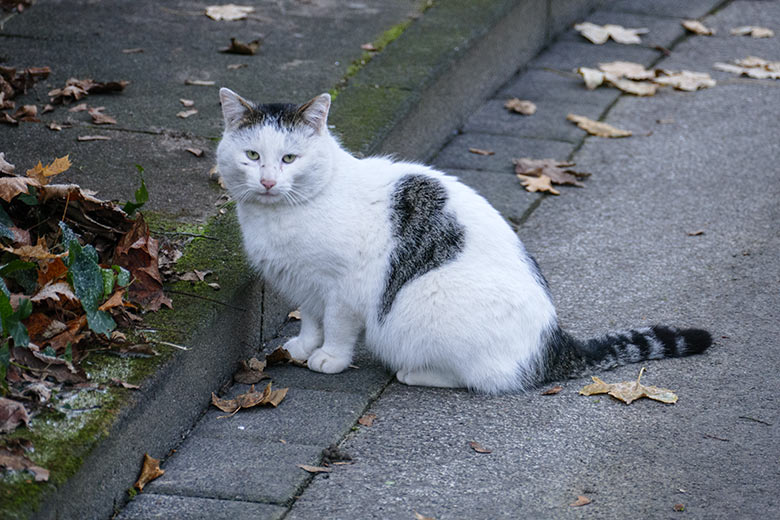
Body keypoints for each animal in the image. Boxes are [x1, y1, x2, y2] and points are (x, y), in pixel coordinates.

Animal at [215, 88, 712, 394]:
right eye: (252, 155)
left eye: (290, 158)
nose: (266, 181)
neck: (281, 215)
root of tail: (552, 345)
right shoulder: (305, 284)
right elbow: (312, 321)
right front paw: (302, 348)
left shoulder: (342, 287)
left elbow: (335, 326)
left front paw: (330, 359)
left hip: (422, 305)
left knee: (483, 378)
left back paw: (414, 373)